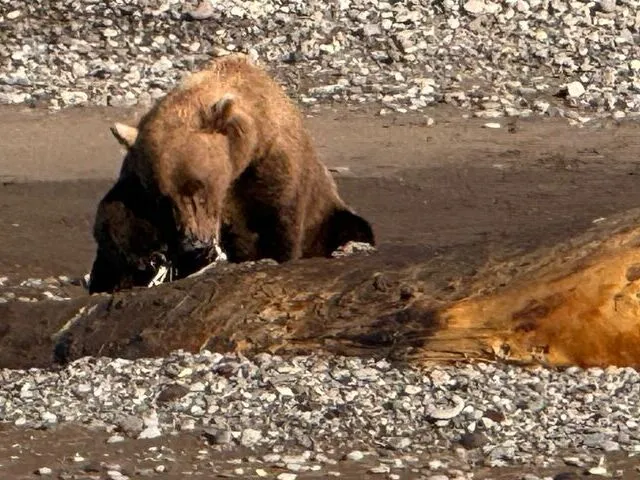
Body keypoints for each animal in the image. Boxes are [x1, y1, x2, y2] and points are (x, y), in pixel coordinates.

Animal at [88, 54, 375, 294]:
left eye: (198, 187)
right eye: (163, 199)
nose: (195, 243)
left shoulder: (270, 169)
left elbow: (278, 225)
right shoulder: (137, 178)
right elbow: (118, 216)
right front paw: (146, 259)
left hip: (329, 216)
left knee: (352, 227)